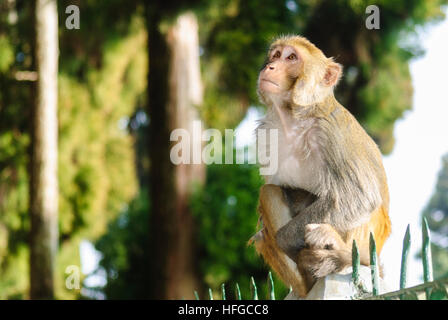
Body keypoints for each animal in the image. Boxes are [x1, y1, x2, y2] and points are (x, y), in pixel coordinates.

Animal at [250, 35, 390, 298]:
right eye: (276, 55)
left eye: (291, 57)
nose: (269, 67)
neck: (294, 117)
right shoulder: (266, 134)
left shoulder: (331, 131)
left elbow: (359, 197)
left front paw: (287, 239)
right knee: (269, 192)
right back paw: (307, 283)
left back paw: (337, 254)